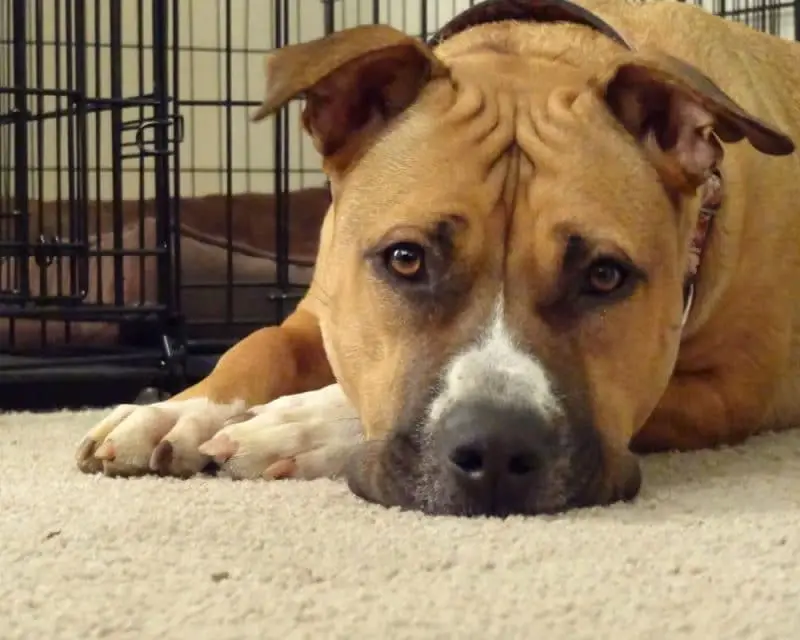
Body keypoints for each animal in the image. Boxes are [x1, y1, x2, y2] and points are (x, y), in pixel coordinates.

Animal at [76, 0, 800, 516]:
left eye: (604, 276)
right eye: (405, 259)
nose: (498, 451)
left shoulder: (726, 394)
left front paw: (297, 427)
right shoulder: (325, 310)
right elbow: (260, 344)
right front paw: (178, 410)